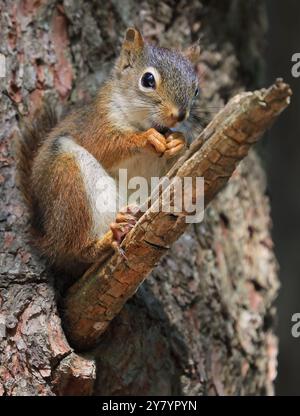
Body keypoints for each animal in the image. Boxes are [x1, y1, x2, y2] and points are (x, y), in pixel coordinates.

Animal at [15, 27, 199, 282]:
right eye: (148, 80)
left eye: (196, 89)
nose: (179, 115)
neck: (140, 122)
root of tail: (48, 240)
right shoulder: (95, 125)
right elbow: (106, 146)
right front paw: (146, 139)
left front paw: (178, 142)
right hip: (68, 182)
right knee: (75, 248)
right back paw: (104, 240)